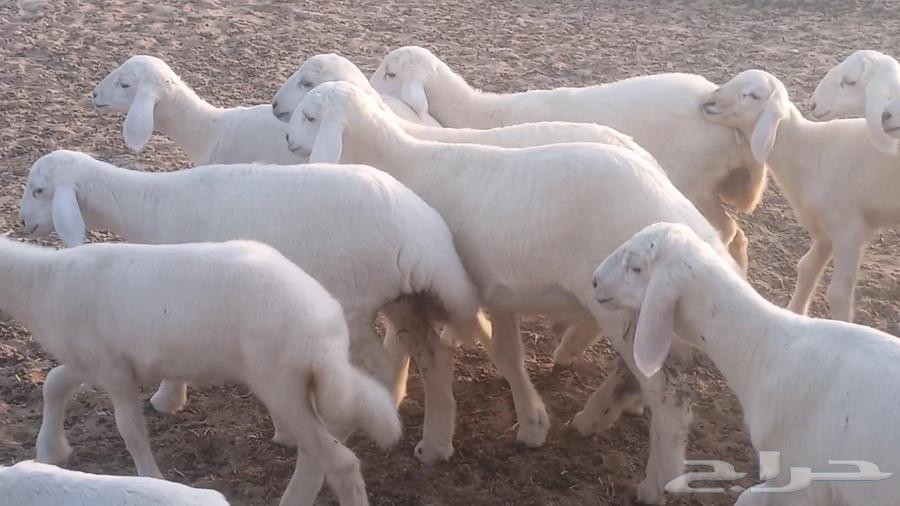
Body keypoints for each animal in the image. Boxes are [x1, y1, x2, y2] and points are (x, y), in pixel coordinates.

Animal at [0, 235, 402, 506]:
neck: (43, 284)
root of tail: (327, 325)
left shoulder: (113, 367)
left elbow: (130, 429)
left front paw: (152, 478)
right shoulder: (90, 360)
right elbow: (54, 384)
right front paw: (50, 451)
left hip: (281, 381)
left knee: (340, 462)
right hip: (308, 383)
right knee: (326, 444)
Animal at [20, 149, 486, 464]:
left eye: (39, 189)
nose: (23, 223)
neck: (153, 207)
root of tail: (424, 233)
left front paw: (167, 397)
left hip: (355, 301)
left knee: (382, 365)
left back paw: (352, 430)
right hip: (403, 297)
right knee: (434, 359)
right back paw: (435, 445)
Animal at [285, 81, 741, 504]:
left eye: (309, 116)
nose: (288, 139)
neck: (399, 160)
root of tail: (684, 220)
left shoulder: (415, 291)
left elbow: (425, 356)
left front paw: (431, 439)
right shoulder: (493, 290)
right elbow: (505, 354)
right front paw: (532, 424)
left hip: (623, 307)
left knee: (669, 398)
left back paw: (657, 482)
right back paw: (598, 417)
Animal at [369, 46, 767, 273]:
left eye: (391, 73)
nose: (368, 89)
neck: (481, 113)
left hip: (694, 184)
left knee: (726, 232)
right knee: (734, 234)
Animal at [702, 69, 900, 323]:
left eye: (751, 95)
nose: (708, 102)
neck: (809, 151)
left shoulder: (849, 231)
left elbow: (838, 293)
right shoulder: (823, 230)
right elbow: (806, 269)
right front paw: (795, 312)